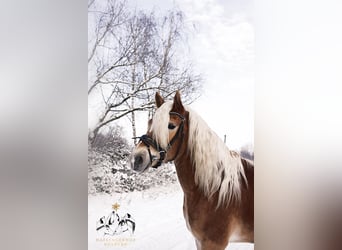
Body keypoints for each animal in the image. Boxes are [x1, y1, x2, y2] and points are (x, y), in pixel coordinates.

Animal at [131, 92, 254, 250]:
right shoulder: (200, 241)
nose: (137, 158)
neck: (214, 188)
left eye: (171, 125)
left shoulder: (213, 243)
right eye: (150, 123)